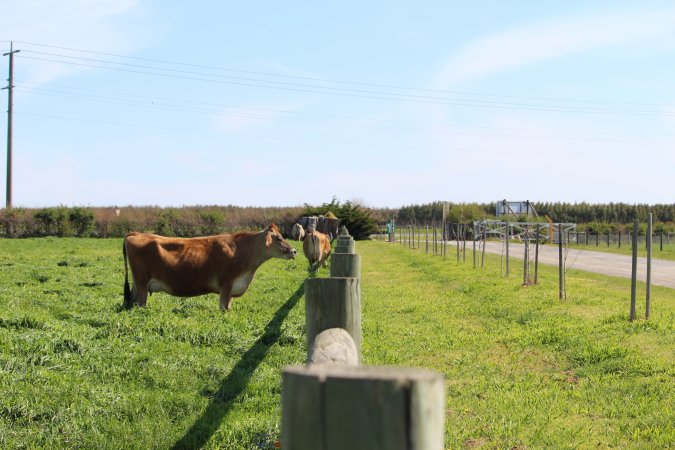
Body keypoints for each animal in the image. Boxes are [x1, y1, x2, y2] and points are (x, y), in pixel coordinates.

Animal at [123, 224, 296, 310]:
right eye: (279, 238)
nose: (294, 251)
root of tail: (136, 233)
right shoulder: (226, 285)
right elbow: (224, 308)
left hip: (137, 282)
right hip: (142, 282)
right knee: (140, 303)